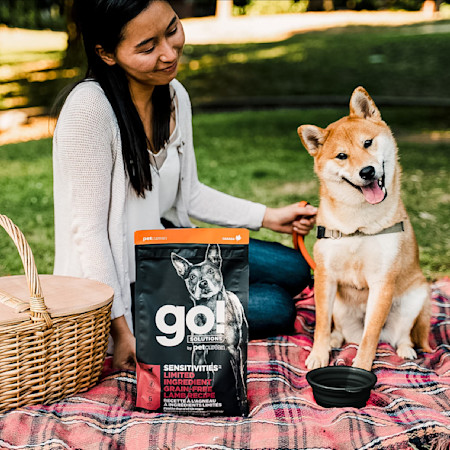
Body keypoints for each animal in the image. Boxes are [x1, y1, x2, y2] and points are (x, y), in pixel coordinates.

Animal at [171, 244, 248, 402]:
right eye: (192, 277)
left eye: (211, 271)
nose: (203, 283)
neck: (210, 309)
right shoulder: (199, 351)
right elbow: (195, 376)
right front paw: (189, 399)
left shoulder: (233, 350)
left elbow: (238, 377)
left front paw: (242, 399)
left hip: (242, 347)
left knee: (240, 371)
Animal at [298, 86, 430, 370]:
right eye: (341, 156)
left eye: (367, 143)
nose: (367, 171)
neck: (358, 224)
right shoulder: (325, 276)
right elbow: (321, 325)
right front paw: (319, 355)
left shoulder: (382, 281)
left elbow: (371, 335)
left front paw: (360, 367)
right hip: (339, 306)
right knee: (339, 331)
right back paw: (335, 341)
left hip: (417, 296)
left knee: (402, 334)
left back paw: (406, 350)